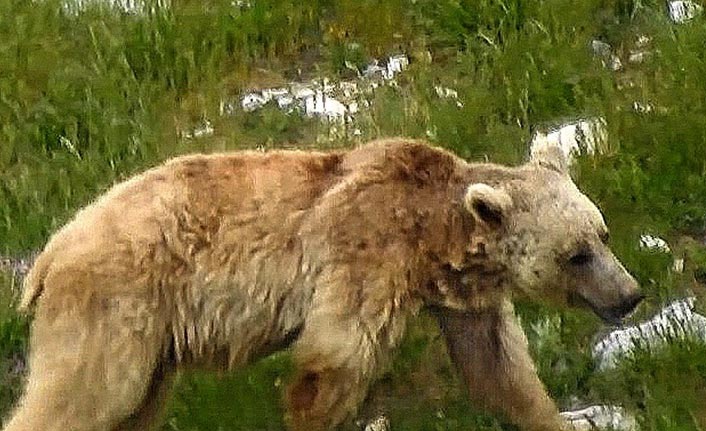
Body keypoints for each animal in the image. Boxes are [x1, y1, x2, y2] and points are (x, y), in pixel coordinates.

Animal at [5, 139, 640, 431]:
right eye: (577, 255)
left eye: (602, 233)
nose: (629, 295)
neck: (432, 237)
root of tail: (48, 254)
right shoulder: (364, 255)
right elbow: (332, 363)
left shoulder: (462, 298)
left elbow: (499, 370)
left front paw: (553, 416)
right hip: (118, 307)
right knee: (85, 394)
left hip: (151, 342)